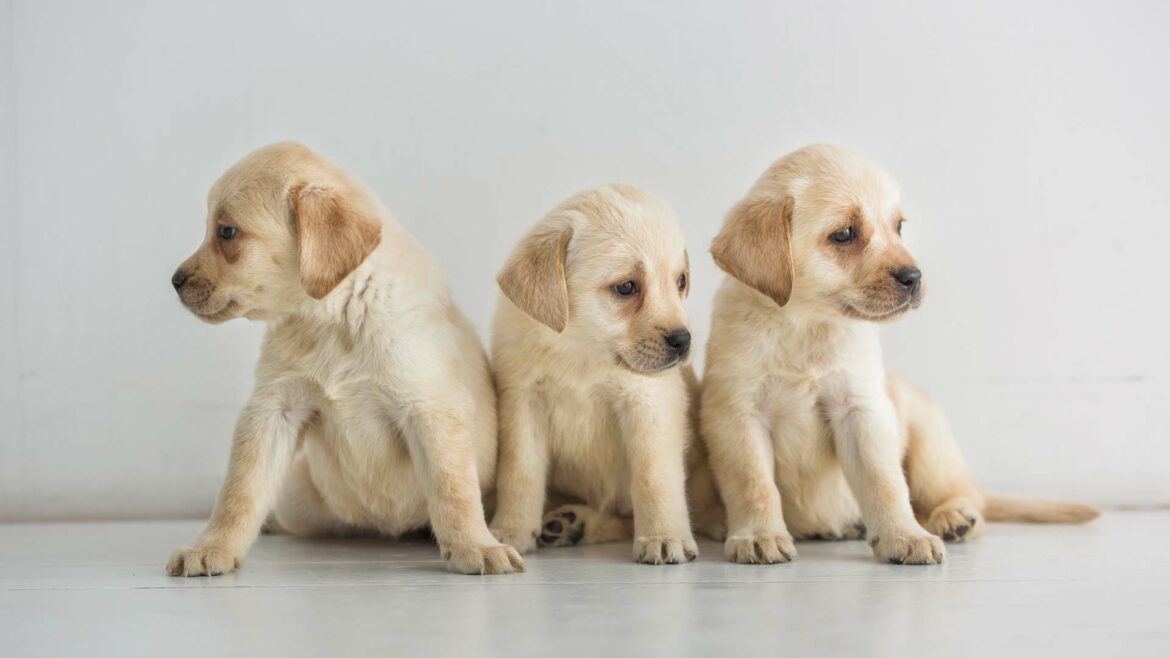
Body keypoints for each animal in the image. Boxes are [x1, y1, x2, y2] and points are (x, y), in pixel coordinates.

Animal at [167, 142, 524, 573]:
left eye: (226, 232)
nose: (174, 281)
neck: (334, 317)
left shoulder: (431, 409)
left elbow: (453, 488)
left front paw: (476, 546)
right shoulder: (273, 409)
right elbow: (239, 491)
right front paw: (213, 547)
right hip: (300, 500)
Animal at [484, 184, 720, 564]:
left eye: (680, 281)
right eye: (626, 287)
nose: (683, 341)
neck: (582, 352)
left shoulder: (649, 406)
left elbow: (654, 477)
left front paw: (664, 536)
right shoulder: (523, 404)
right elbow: (520, 473)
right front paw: (511, 530)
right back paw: (571, 525)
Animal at [697, 143, 1099, 564]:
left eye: (899, 227)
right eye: (844, 234)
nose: (914, 277)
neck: (806, 324)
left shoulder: (862, 411)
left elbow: (885, 483)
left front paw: (904, 537)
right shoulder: (737, 414)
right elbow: (753, 483)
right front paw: (758, 534)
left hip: (927, 439)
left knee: (965, 495)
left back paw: (954, 517)